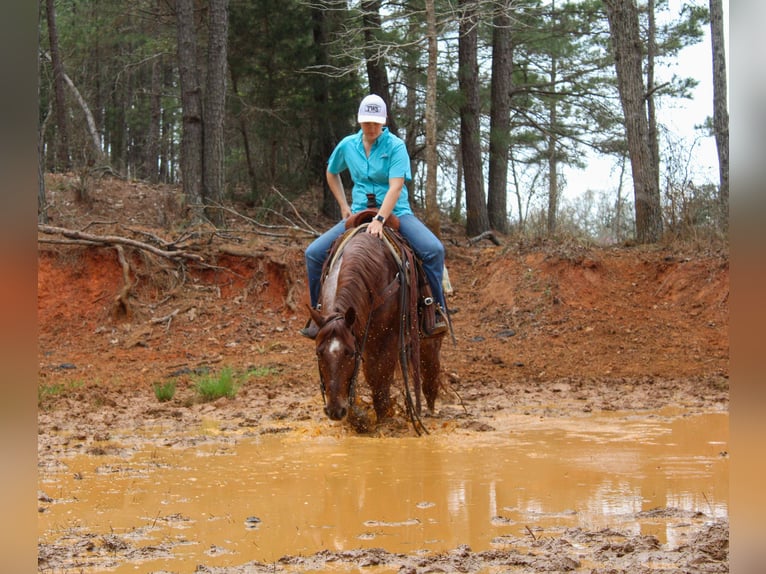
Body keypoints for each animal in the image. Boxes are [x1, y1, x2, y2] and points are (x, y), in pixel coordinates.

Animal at [309, 225, 443, 433]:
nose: (335, 411)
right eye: (319, 353)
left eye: (349, 353)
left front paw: (384, 419)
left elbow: (379, 375)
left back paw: (428, 409)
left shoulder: (386, 338)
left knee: (430, 366)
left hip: (427, 338)